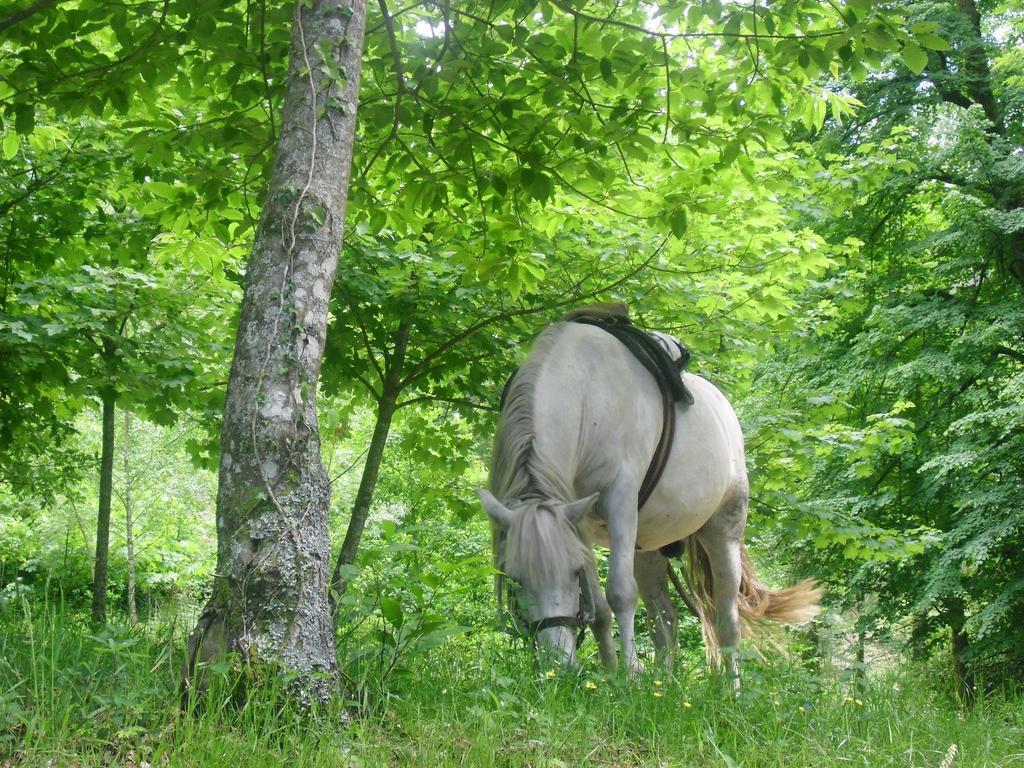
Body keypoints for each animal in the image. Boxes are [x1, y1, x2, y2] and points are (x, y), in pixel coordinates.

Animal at [475, 309, 819, 679]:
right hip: (648, 548)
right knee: (664, 621)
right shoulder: (580, 522)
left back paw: (731, 686)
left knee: (727, 619)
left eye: (571, 572)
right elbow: (598, 608)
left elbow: (620, 593)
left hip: (723, 533)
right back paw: (663, 683)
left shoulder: (620, 504)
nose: (560, 666)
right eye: (513, 578)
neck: (590, 394)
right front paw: (611, 674)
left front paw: (629, 674)